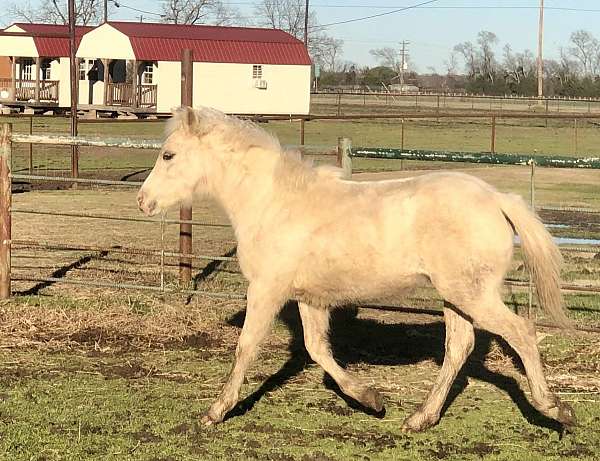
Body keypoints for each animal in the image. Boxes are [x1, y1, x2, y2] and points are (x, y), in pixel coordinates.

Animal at [137, 107, 576, 432]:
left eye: (168, 155)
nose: (143, 201)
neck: (274, 202)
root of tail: (498, 199)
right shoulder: (310, 298)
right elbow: (317, 349)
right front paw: (372, 400)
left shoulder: (266, 289)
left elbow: (246, 347)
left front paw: (215, 412)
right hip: (457, 297)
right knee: (458, 348)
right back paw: (420, 418)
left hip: (472, 294)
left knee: (522, 333)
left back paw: (555, 409)